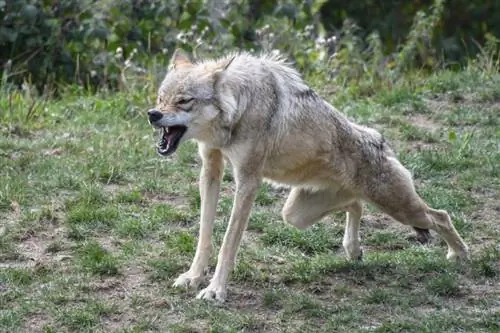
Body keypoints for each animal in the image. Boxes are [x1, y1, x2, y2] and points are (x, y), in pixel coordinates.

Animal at [146, 48, 470, 300]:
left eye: (184, 101)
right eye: (161, 98)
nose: (152, 114)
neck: (239, 107)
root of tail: (380, 139)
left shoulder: (248, 181)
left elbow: (228, 242)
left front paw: (215, 290)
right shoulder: (210, 169)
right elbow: (204, 234)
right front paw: (193, 277)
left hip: (400, 209)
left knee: (440, 216)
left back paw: (460, 255)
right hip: (296, 215)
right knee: (356, 204)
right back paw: (353, 250)